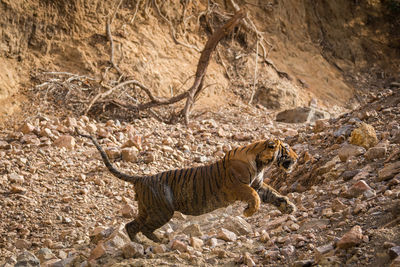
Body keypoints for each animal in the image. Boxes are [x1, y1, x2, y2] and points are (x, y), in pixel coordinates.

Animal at [78, 133, 296, 243]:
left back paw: (139, 244)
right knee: (144, 227)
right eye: (286, 148)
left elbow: (273, 194)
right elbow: (254, 197)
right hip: (162, 212)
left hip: (147, 210)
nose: (295, 157)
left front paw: (288, 207)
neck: (261, 163)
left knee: (131, 225)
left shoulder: (258, 185)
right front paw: (248, 212)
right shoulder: (238, 186)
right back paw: (158, 242)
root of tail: (141, 178)